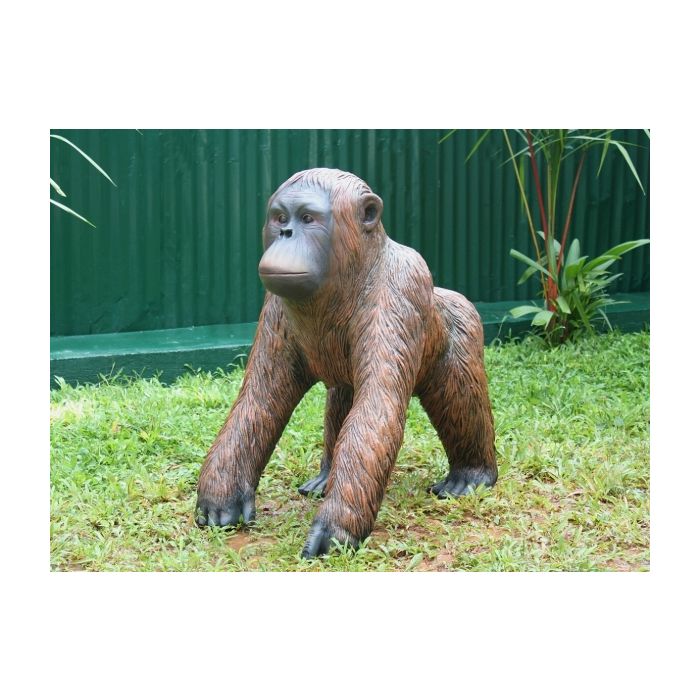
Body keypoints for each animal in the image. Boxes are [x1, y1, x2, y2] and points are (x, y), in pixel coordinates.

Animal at [195, 168, 497, 558]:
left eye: (308, 219)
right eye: (280, 217)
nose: (286, 233)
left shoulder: (401, 286)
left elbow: (376, 408)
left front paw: (336, 526)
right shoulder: (275, 308)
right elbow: (258, 402)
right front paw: (220, 495)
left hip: (466, 332)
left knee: (461, 400)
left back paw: (471, 475)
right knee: (342, 401)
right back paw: (326, 476)